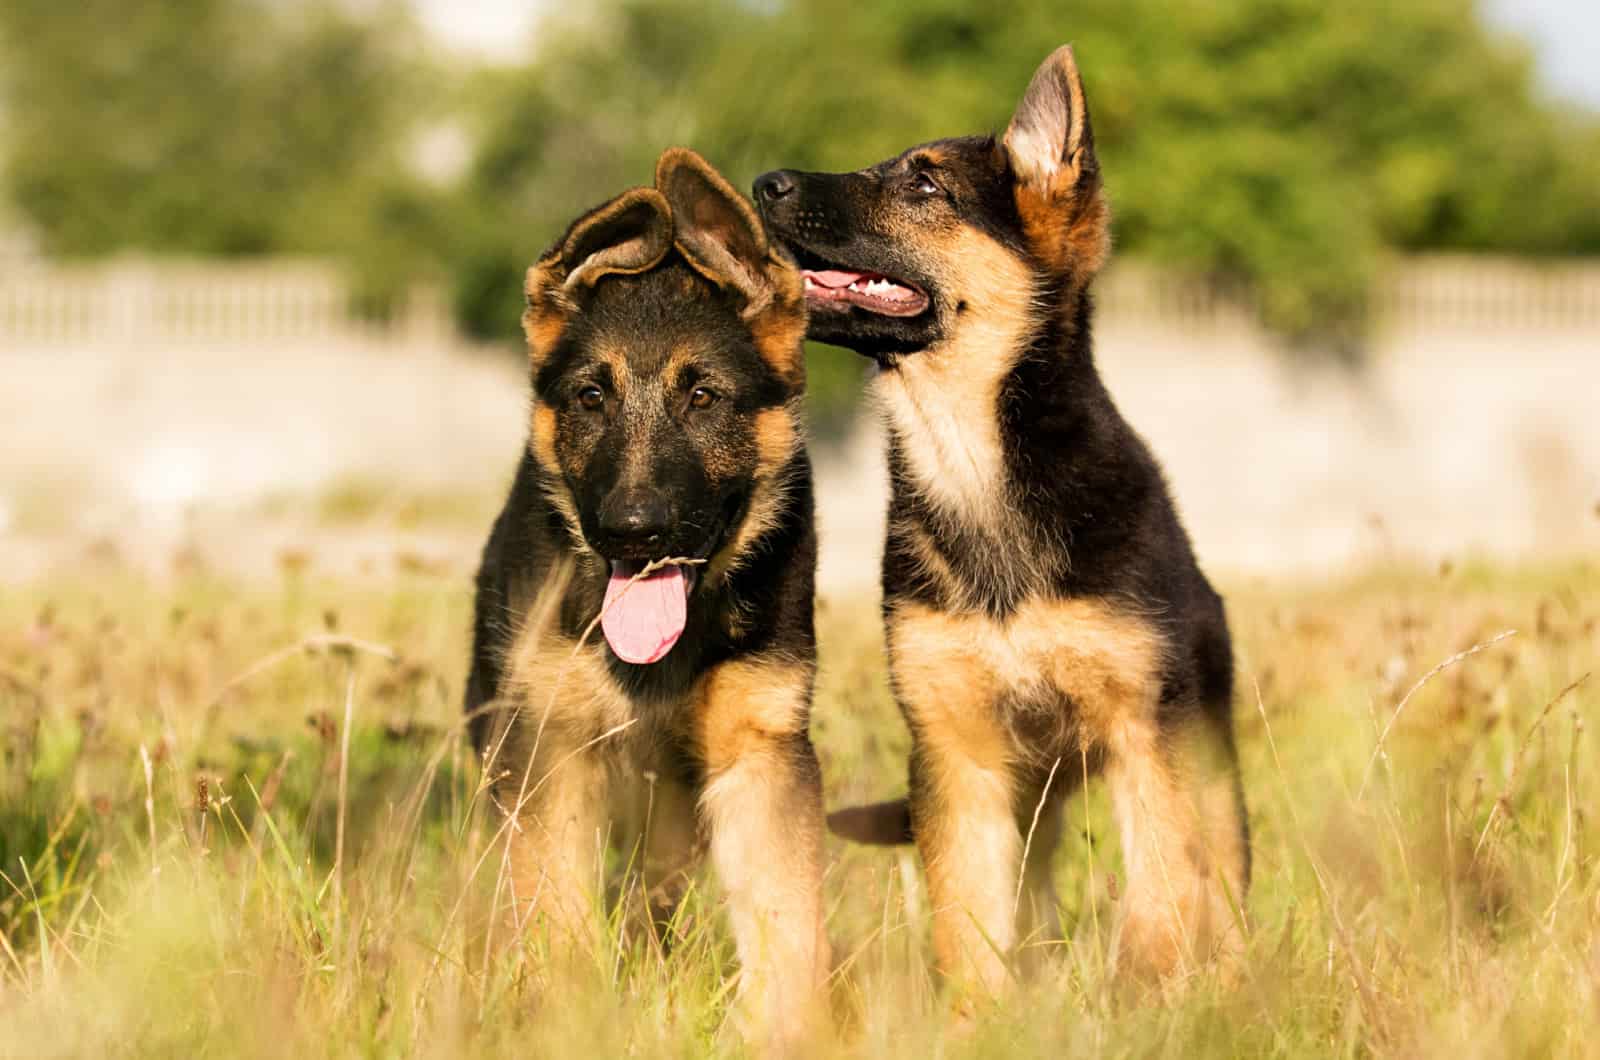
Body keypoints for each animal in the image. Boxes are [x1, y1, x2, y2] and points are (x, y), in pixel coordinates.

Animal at [467, 145, 825, 1043]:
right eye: (591, 397)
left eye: (704, 398)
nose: (634, 531)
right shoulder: (551, 755)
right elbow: (557, 918)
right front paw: (567, 1019)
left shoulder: (762, 756)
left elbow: (789, 930)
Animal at [752, 47, 1248, 999]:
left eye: (924, 185)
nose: (764, 182)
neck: (973, 460)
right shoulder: (958, 755)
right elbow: (966, 930)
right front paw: (979, 1019)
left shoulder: (1144, 739)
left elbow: (1163, 898)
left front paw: (1156, 1002)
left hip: (1206, 766)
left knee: (1220, 883)